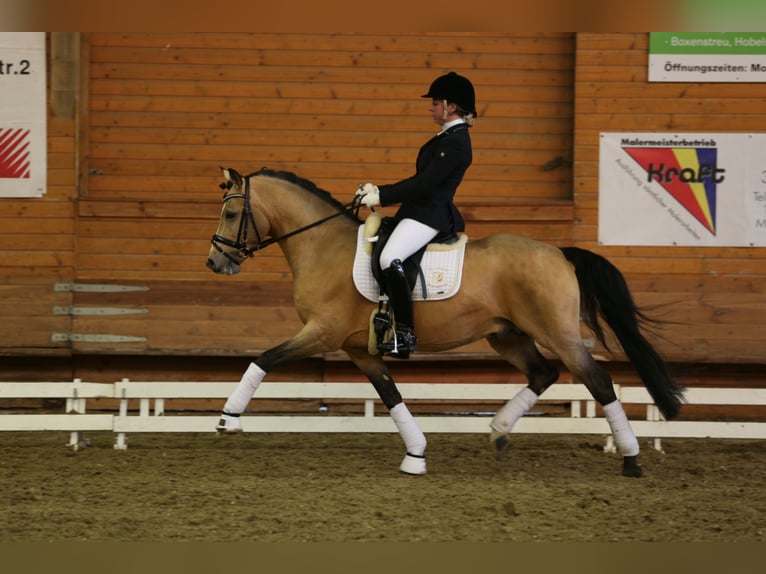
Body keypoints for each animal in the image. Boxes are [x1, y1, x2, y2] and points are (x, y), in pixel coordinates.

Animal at [206, 166, 685, 478]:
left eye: (230, 214)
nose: (214, 262)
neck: (323, 246)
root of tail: (558, 252)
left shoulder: (321, 333)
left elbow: (264, 359)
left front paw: (229, 418)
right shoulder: (359, 350)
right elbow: (391, 395)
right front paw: (416, 455)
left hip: (559, 334)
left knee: (598, 381)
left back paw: (631, 459)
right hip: (507, 335)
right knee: (543, 373)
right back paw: (499, 431)